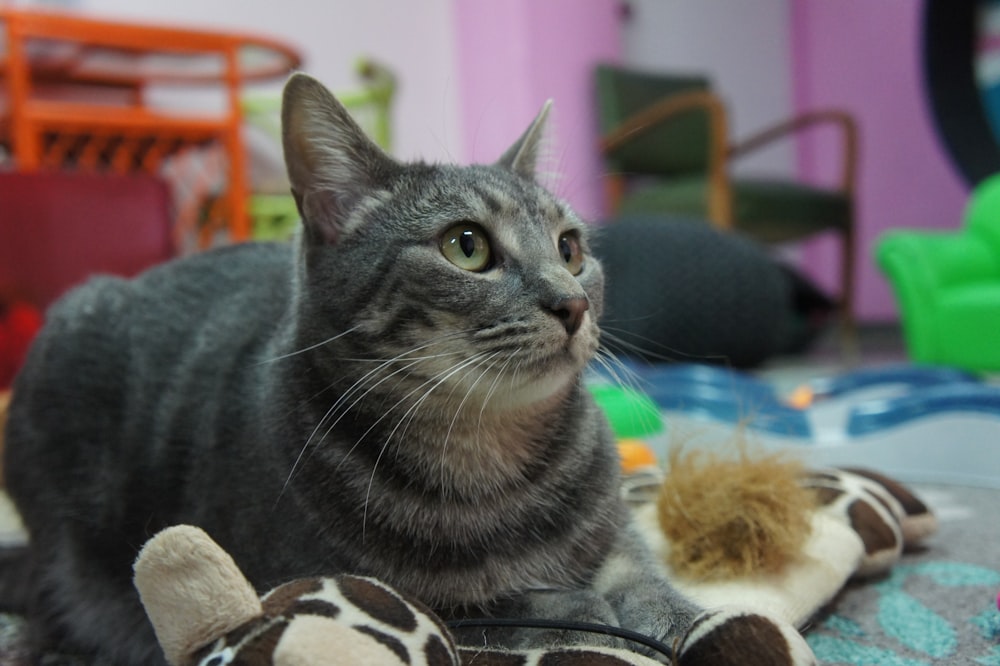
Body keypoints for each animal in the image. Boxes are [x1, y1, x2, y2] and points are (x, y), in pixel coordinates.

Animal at [1, 74, 696, 660]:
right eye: (466, 246)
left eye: (570, 250)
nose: (573, 302)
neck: (490, 458)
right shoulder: (322, 578)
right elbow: (489, 604)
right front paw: (578, 606)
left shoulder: (613, 528)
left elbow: (643, 572)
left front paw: (678, 615)